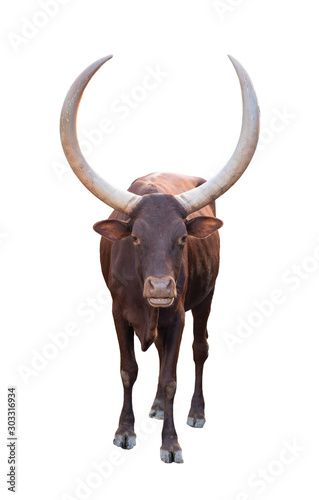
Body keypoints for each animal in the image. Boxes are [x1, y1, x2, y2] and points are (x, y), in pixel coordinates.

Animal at [59, 52, 260, 462]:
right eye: (135, 238)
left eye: (182, 238)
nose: (161, 287)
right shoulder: (118, 313)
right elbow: (128, 369)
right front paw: (124, 431)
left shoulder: (177, 315)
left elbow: (171, 378)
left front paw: (170, 443)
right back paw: (152, 408)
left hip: (205, 298)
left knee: (199, 350)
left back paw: (196, 412)